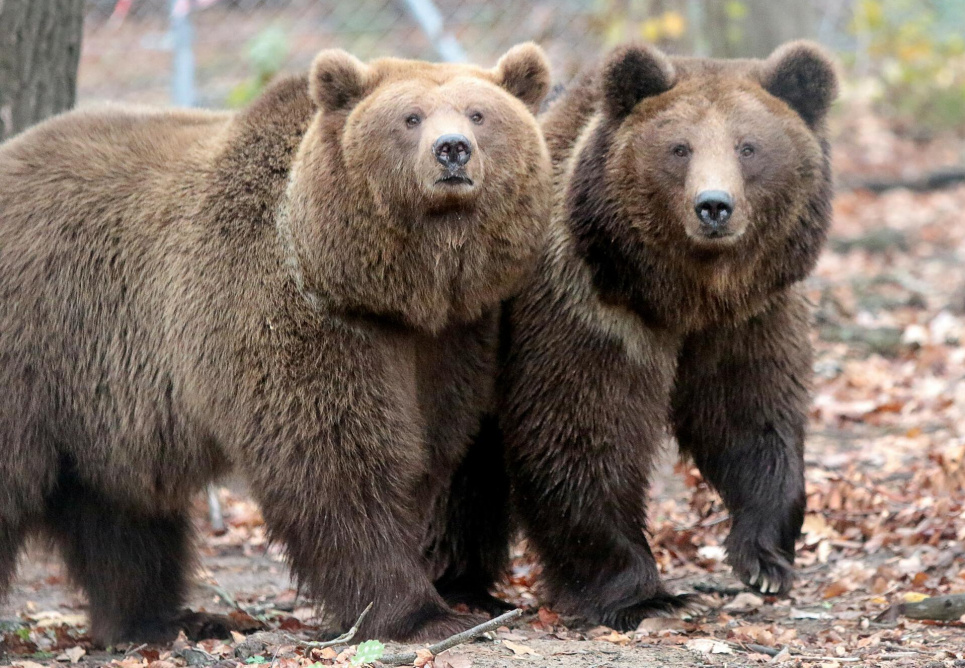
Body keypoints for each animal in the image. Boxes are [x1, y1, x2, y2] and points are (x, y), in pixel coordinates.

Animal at [0, 44, 552, 644]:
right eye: (410, 117)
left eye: (479, 114)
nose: (452, 150)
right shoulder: (294, 316)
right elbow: (335, 464)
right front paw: (420, 613)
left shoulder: (449, 339)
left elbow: (427, 453)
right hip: (34, 340)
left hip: (94, 401)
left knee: (120, 514)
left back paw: (165, 621)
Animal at [498, 43, 836, 632]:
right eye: (680, 148)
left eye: (748, 147)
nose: (714, 205)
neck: (683, 295)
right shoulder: (588, 307)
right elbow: (582, 430)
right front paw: (642, 595)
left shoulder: (748, 318)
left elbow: (752, 415)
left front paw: (763, 559)